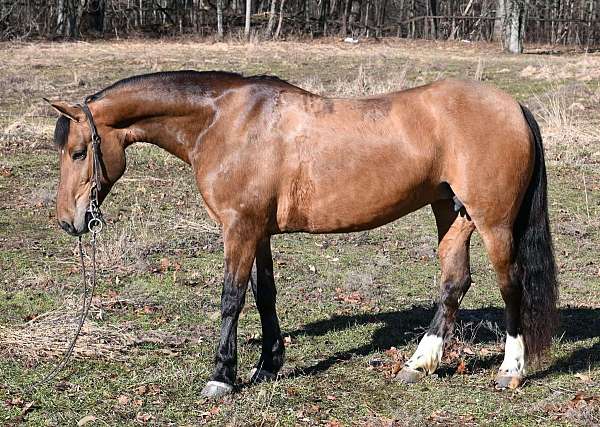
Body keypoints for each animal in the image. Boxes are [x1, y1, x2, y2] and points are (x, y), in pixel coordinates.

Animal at [47, 70, 556, 398]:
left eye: (78, 152)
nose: (69, 221)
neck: (224, 121)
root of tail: (513, 105)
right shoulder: (258, 231)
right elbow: (264, 294)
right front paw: (268, 365)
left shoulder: (239, 229)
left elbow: (232, 297)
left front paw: (222, 376)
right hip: (451, 213)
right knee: (454, 283)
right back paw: (419, 364)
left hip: (493, 224)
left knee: (511, 286)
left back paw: (510, 370)